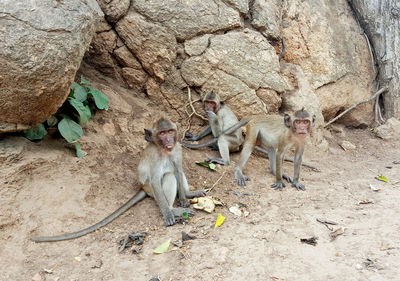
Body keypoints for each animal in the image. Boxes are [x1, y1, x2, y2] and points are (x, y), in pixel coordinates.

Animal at [30, 117, 205, 242]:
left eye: (170, 131)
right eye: (162, 133)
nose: (168, 140)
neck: (164, 150)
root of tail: (142, 187)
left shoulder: (177, 149)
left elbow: (178, 170)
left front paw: (184, 199)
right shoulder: (155, 157)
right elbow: (157, 180)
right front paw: (169, 213)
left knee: (175, 172)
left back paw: (188, 194)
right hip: (150, 189)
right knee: (167, 177)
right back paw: (172, 209)